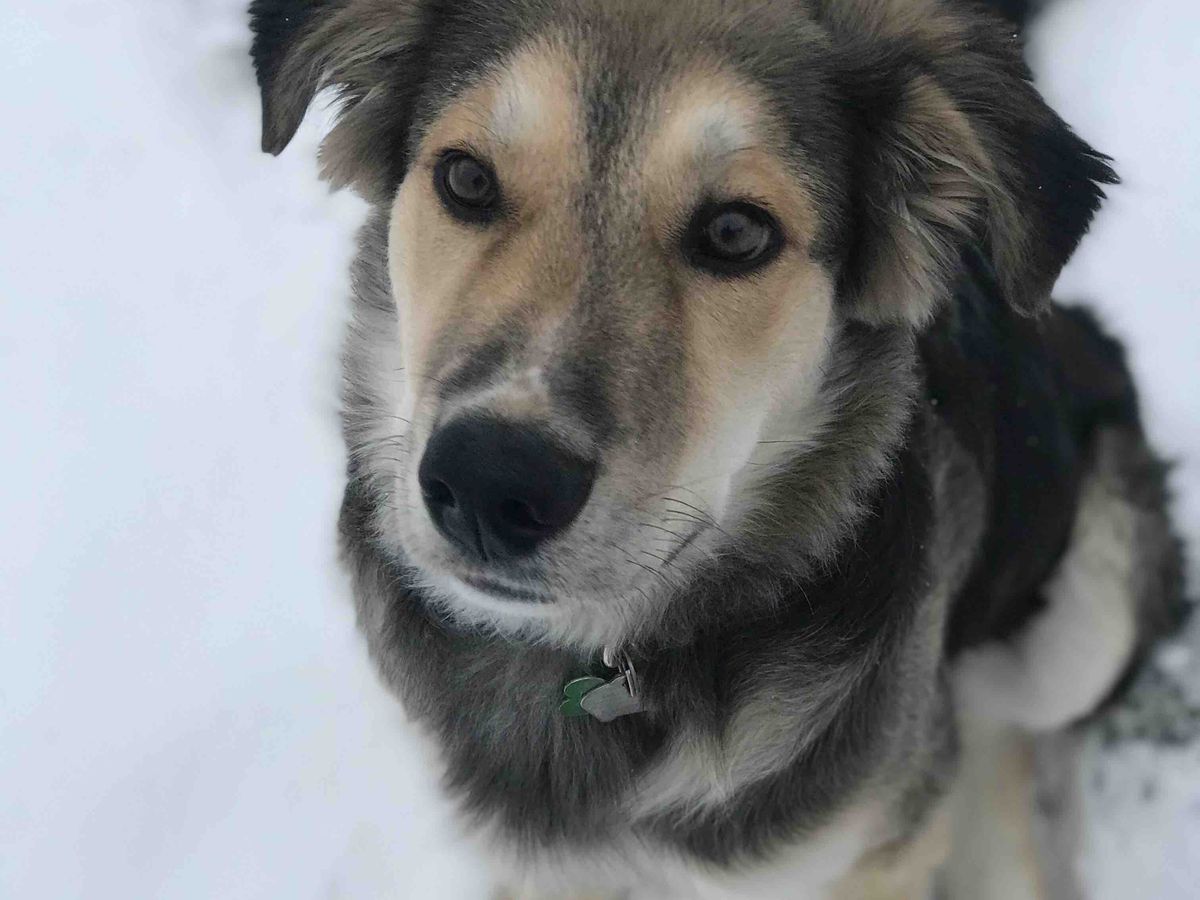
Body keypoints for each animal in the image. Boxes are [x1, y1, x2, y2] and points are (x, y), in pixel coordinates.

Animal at [250, 0, 1186, 895]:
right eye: (467, 179)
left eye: (737, 232)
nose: (488, 484)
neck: (604, 671)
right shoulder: (545, 865)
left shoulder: (858, 857)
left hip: (1092, 606)